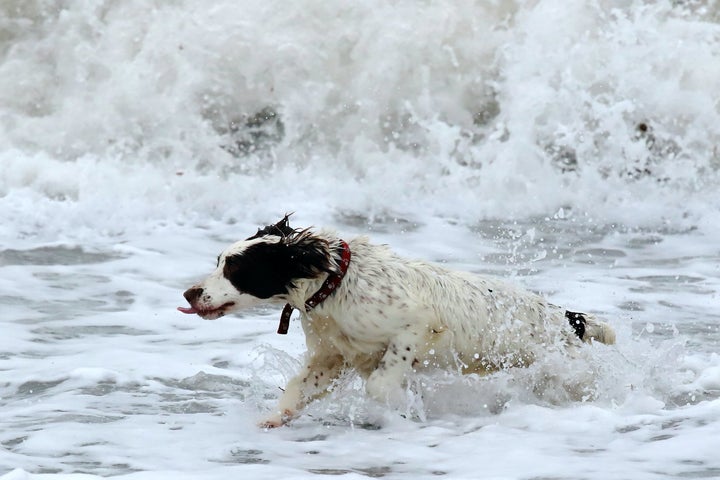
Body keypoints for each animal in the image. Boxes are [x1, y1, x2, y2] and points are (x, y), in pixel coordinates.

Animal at [177, 216, 616, 426]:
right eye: (219, 262)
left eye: (235, 269)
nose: (189, 294)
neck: (336, 284)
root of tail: (568, 318)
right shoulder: (330, 358)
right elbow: (297, 390)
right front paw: (272, 420)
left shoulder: (414, 327)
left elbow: (381, 382)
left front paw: (400, 406)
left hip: (567, 370)